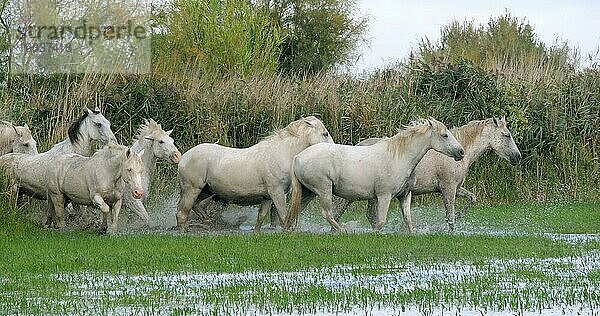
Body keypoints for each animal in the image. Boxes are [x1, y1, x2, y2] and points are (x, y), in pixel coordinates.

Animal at [176, 116, 336, 232]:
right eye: (325, 133)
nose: (333, 149)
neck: (281, 153)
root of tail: (183, 158)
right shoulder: (277, 192)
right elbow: (283, 215)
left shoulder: (267, 197)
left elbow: (261, 217)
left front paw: (256, 233)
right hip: (192, 189)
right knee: (182, 213)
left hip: (205, 191)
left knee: (195, 206)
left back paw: (206, 221)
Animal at [284, 118, 464, 232]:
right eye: (444, 135)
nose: (461, 152)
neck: (399, 157)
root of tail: (298, 157)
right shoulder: (384, 196)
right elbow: (380, 222)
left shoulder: (405, 195)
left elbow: (408, 222)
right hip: (323, 190)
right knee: (327, 214)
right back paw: (342, 231)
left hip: (308, 192)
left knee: (295, 211)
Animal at [336, 117, 524, 231]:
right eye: (507, 135)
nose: (517, 157)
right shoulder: (448, 189)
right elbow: (450, 216)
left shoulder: (456, 188)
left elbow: (472, 198)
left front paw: (460, 215)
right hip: (354, 194)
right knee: (338, 210)